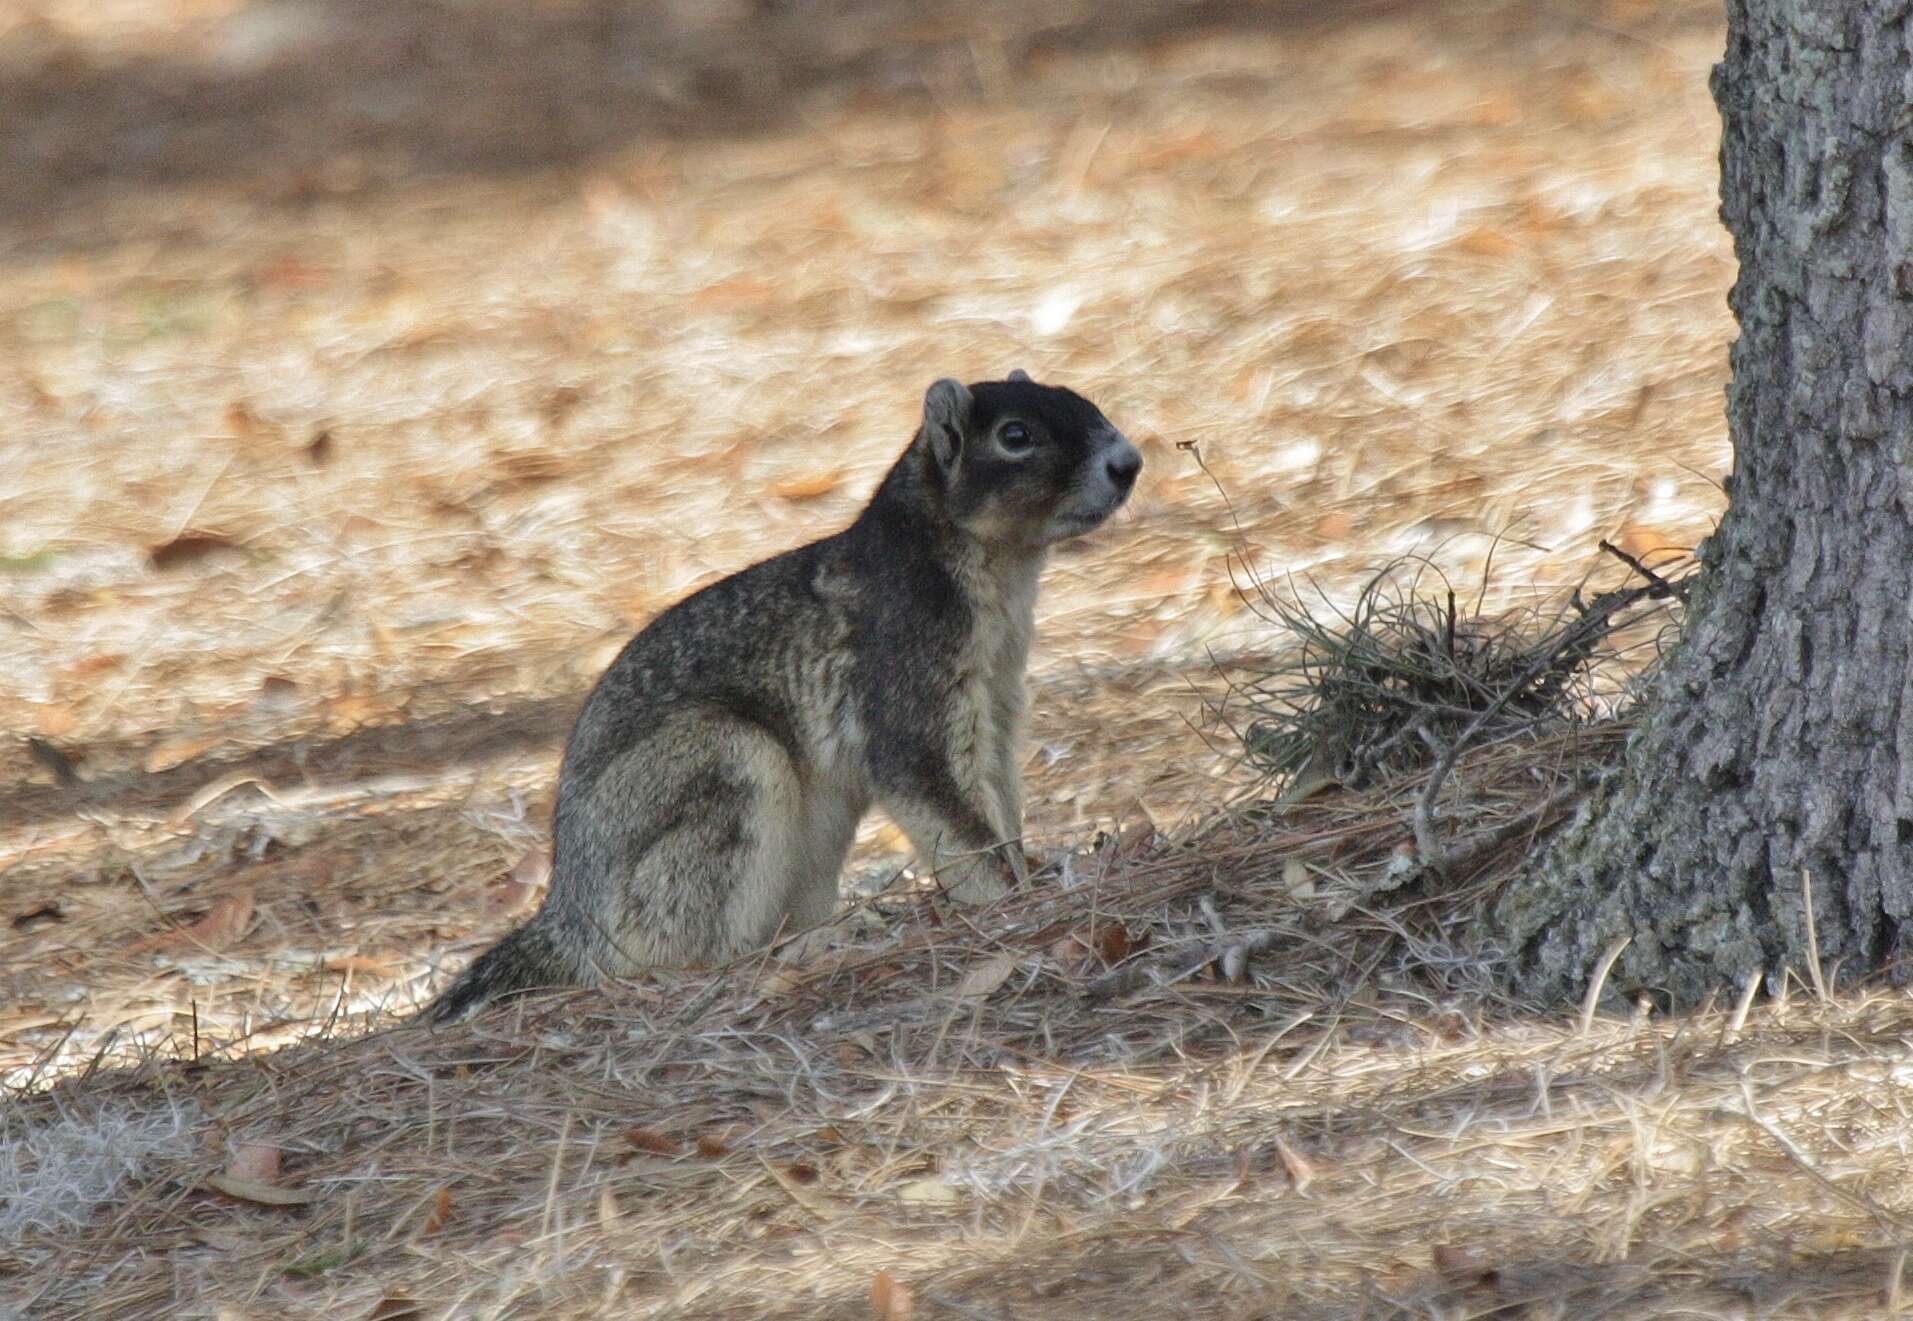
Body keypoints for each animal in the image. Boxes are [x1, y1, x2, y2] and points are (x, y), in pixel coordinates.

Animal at [430, 372, 1132, 1024]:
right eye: (1015, 435)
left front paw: (1035, 870)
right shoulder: (907, 662)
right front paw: (1012, 898)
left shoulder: (997, 696)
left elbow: (998, 795)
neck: (994, 568)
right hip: (721, 765)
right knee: (686, 950)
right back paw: (799, 948)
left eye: (1082, 399)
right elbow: (939, 796)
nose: (1128, 462)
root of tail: (571, 919)